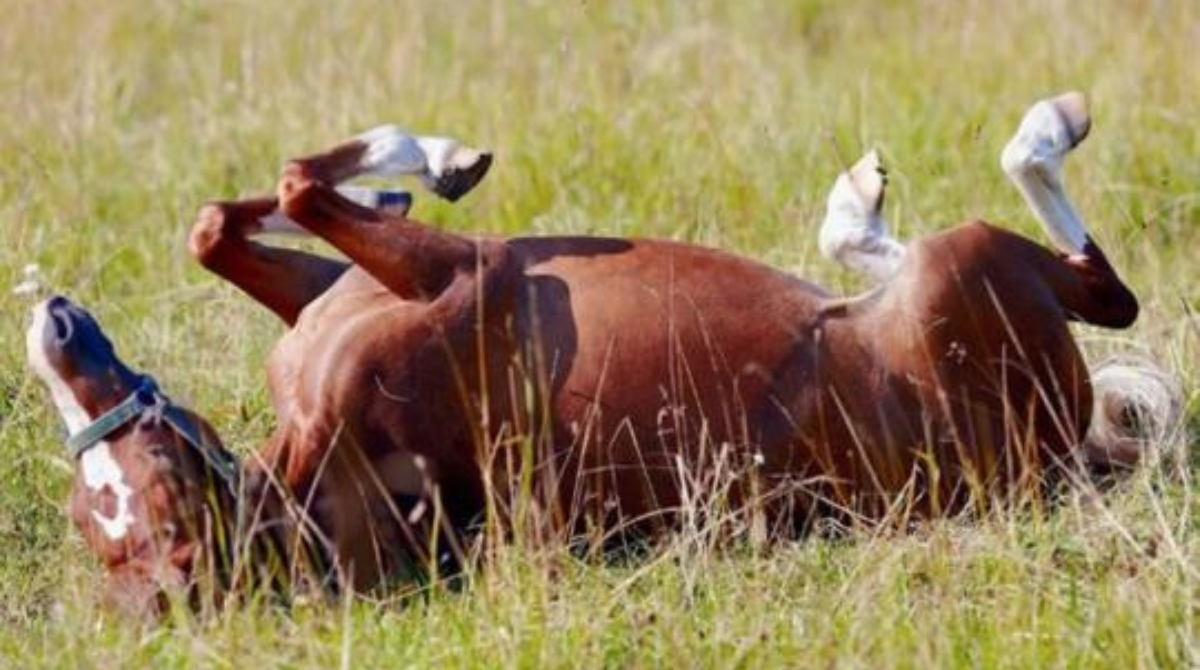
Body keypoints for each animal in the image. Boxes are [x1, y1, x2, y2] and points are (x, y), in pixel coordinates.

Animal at [23, 91, 1176, 619]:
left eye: (133, 482)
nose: (57, 327)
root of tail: (1060, 454)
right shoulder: (469, 273)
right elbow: (304, 183)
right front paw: (432, 160)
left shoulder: (352, 290)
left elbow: (227, 220)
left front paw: (410, 177)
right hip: (966, 270)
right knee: (1096, 281)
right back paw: (1004, 145)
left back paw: (856, 210)